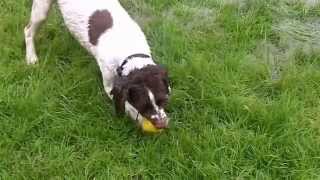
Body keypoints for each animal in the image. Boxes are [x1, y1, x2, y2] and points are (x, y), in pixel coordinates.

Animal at [24, 0, 170, 129]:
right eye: (143, 105)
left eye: (163, 100)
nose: (162, 125)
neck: (129, 49)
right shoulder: (109, 84)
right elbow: (127, 105)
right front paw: (138, 119)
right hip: (41, 10)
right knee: (28, 31)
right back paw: (31, 57)